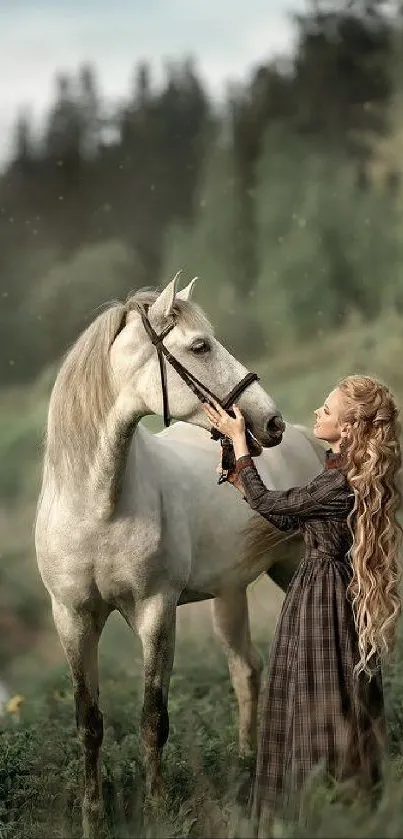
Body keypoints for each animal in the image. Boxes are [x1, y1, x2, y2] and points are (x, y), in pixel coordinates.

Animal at [34, 274, 326, 832]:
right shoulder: (71, 618)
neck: (96, 507)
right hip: (231, 593)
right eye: (199, 346)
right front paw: (93, 820)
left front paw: (157, 811)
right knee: (246, 669)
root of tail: (307, 440)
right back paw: (246, 763)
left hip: (295, 567)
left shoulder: (155, 610)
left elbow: (153, 718)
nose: (269, 422)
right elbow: (89, 722)